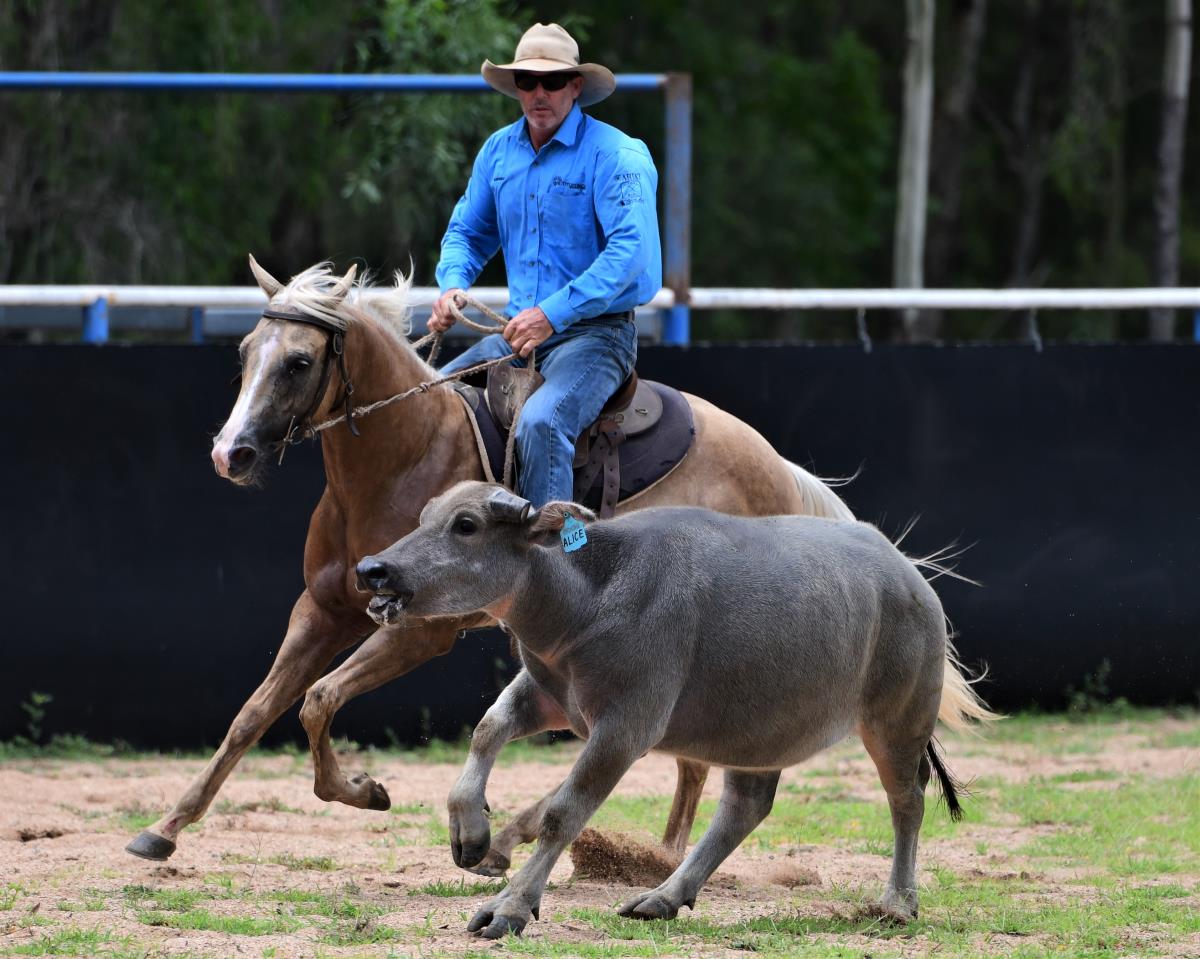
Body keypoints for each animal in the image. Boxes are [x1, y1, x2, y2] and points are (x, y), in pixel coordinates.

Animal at [124, 256, 855, 872]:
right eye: (247, 352)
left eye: (299, 362)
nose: (230, 453)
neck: (403, 456)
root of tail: (773, 462)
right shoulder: (322, 611)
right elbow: (256, 713)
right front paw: (166, 827)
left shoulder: (420, 629)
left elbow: (318, 699)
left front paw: (364, 789)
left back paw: (649, 855)